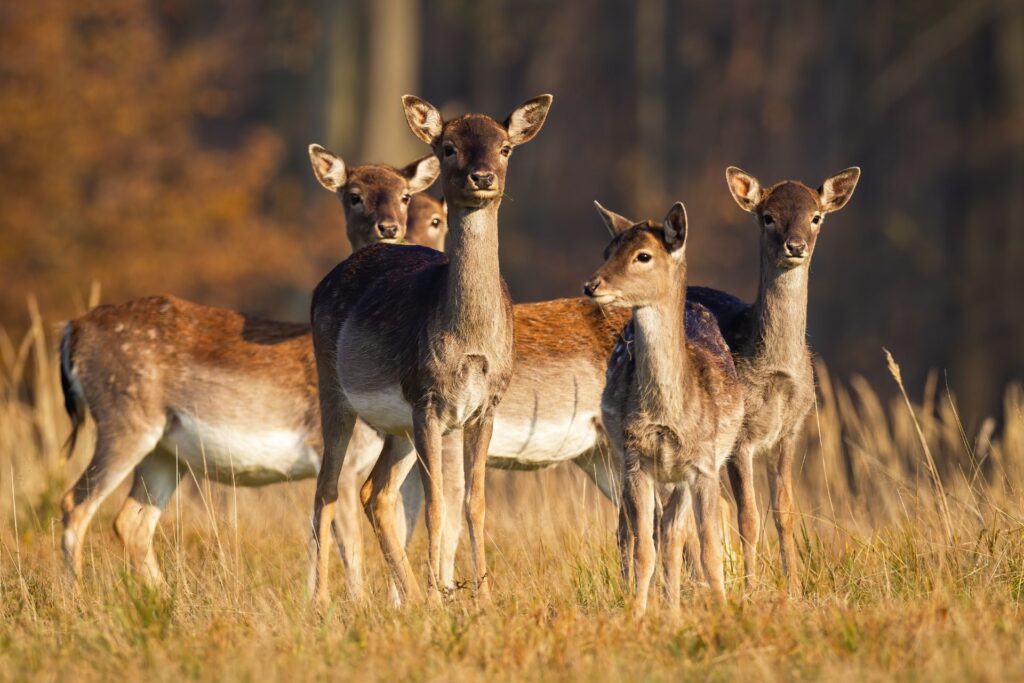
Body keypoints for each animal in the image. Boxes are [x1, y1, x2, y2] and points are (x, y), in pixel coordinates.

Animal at [58, 151, 441, 590]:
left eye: (406, 195)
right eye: (354, 195)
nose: (389, 227)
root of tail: (72, 330)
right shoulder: (332, 454)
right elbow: (350, 547)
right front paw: (353, 602)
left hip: (164, 450)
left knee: (132, 521)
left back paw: (161, 595)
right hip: (125, 419)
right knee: (75, 504)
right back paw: (75, 595)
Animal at [308, 94, 553, 607]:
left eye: (505, 147)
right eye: (448, 147)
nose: (483, 177)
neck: (471, 344)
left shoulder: (485, 406)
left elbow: (474, 502)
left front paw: (481, 597)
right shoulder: (427, 400)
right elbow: (438, 504)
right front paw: (444, 598)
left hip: (397, 426)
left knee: (375, 493)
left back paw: (413, 597)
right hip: (335, 390)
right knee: (327, 489)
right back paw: (321, 602)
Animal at [583, 201, 744, 618]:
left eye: (644, 255)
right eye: (607, 251)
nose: (592, 285)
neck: (668, 415)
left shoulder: (703, 465)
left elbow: (709, 549)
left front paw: (724, 611)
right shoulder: (636, 462)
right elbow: (644, 550)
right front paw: (638, 616)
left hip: (683, 475)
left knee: (674, 535)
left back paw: (673, 611)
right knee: (642, 534)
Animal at [686, 166, 860, 591]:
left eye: (816, 217)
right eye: (768, 216)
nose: (795, 246)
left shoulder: (792, 430)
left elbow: (785, 512)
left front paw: (793, 588)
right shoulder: (740, 437)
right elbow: (748, 518)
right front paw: (751, 587)